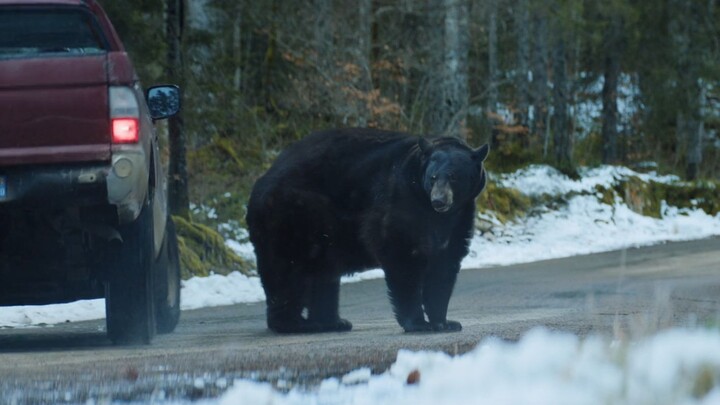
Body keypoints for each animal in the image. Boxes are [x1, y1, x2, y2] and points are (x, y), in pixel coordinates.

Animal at [246, 128, 489, 333]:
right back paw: (295, 324)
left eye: (454, 176)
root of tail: (259, 184)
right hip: (292, 217)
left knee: (322, 275)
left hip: (320, 231)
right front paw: (419, 323)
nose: (439, 200)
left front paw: (445, 322)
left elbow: (444, 264)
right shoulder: (398, 199)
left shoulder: (459, 217)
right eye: (433, 177)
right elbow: (401, 254)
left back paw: (332, 322)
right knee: (288, 272)